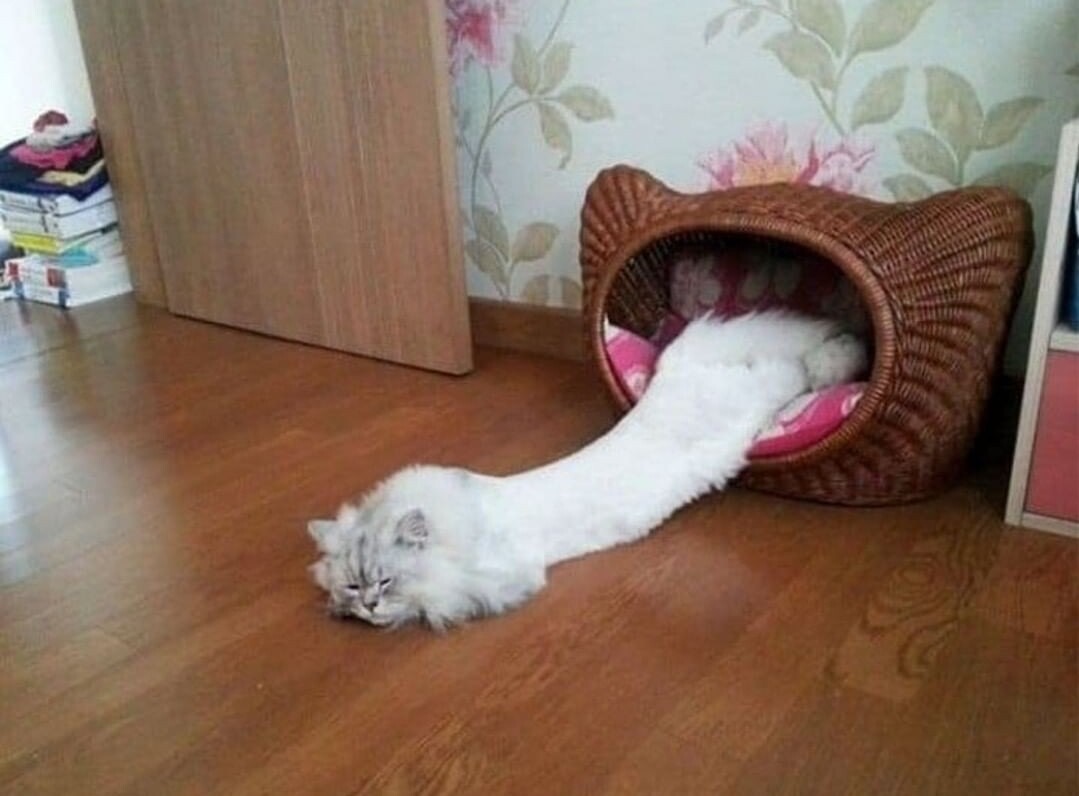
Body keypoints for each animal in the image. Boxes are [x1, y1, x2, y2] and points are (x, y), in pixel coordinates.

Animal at [308, 310, 867, 630]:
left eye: (385, 582)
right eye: (354, 586)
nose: (367, 607)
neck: (457, 524)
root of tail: (675, 367)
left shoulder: (496, 577)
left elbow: (438, 599)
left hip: (760, 391)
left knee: (800, 367)